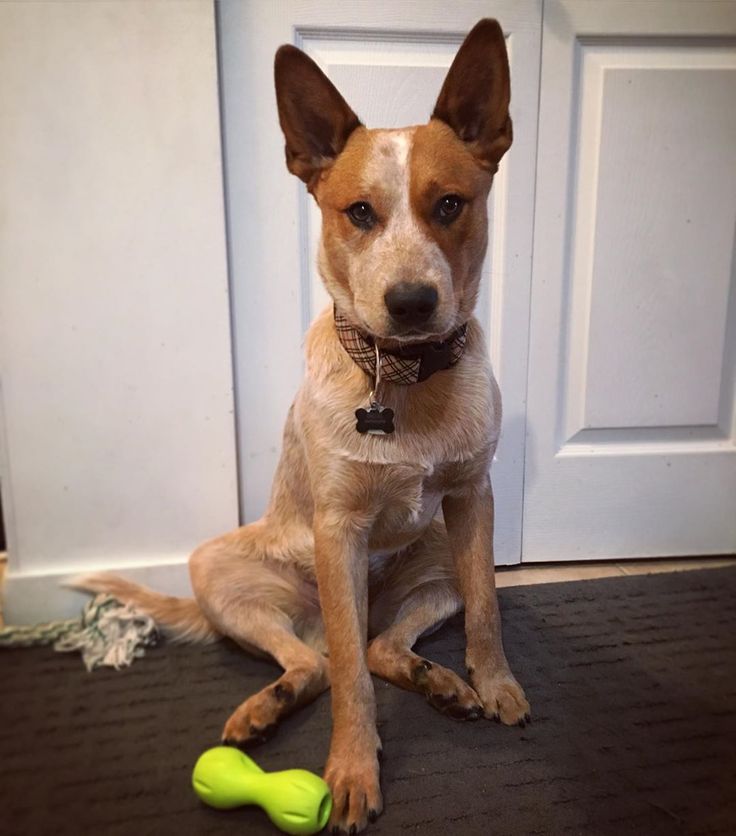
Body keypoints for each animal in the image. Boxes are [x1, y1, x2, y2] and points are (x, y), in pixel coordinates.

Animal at [76, 21, 528, 836]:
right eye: (359, 212)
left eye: (450, 204)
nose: (411, 302)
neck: (401, 378)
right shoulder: (337, 529)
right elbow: (349, 677)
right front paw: (351, 770)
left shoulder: (473, 500)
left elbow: (487, 608)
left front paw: (495, 682)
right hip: (219, 568)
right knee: (322, 661)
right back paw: (269, 703)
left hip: (438, 557)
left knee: (381, 644)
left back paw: (438, 679)